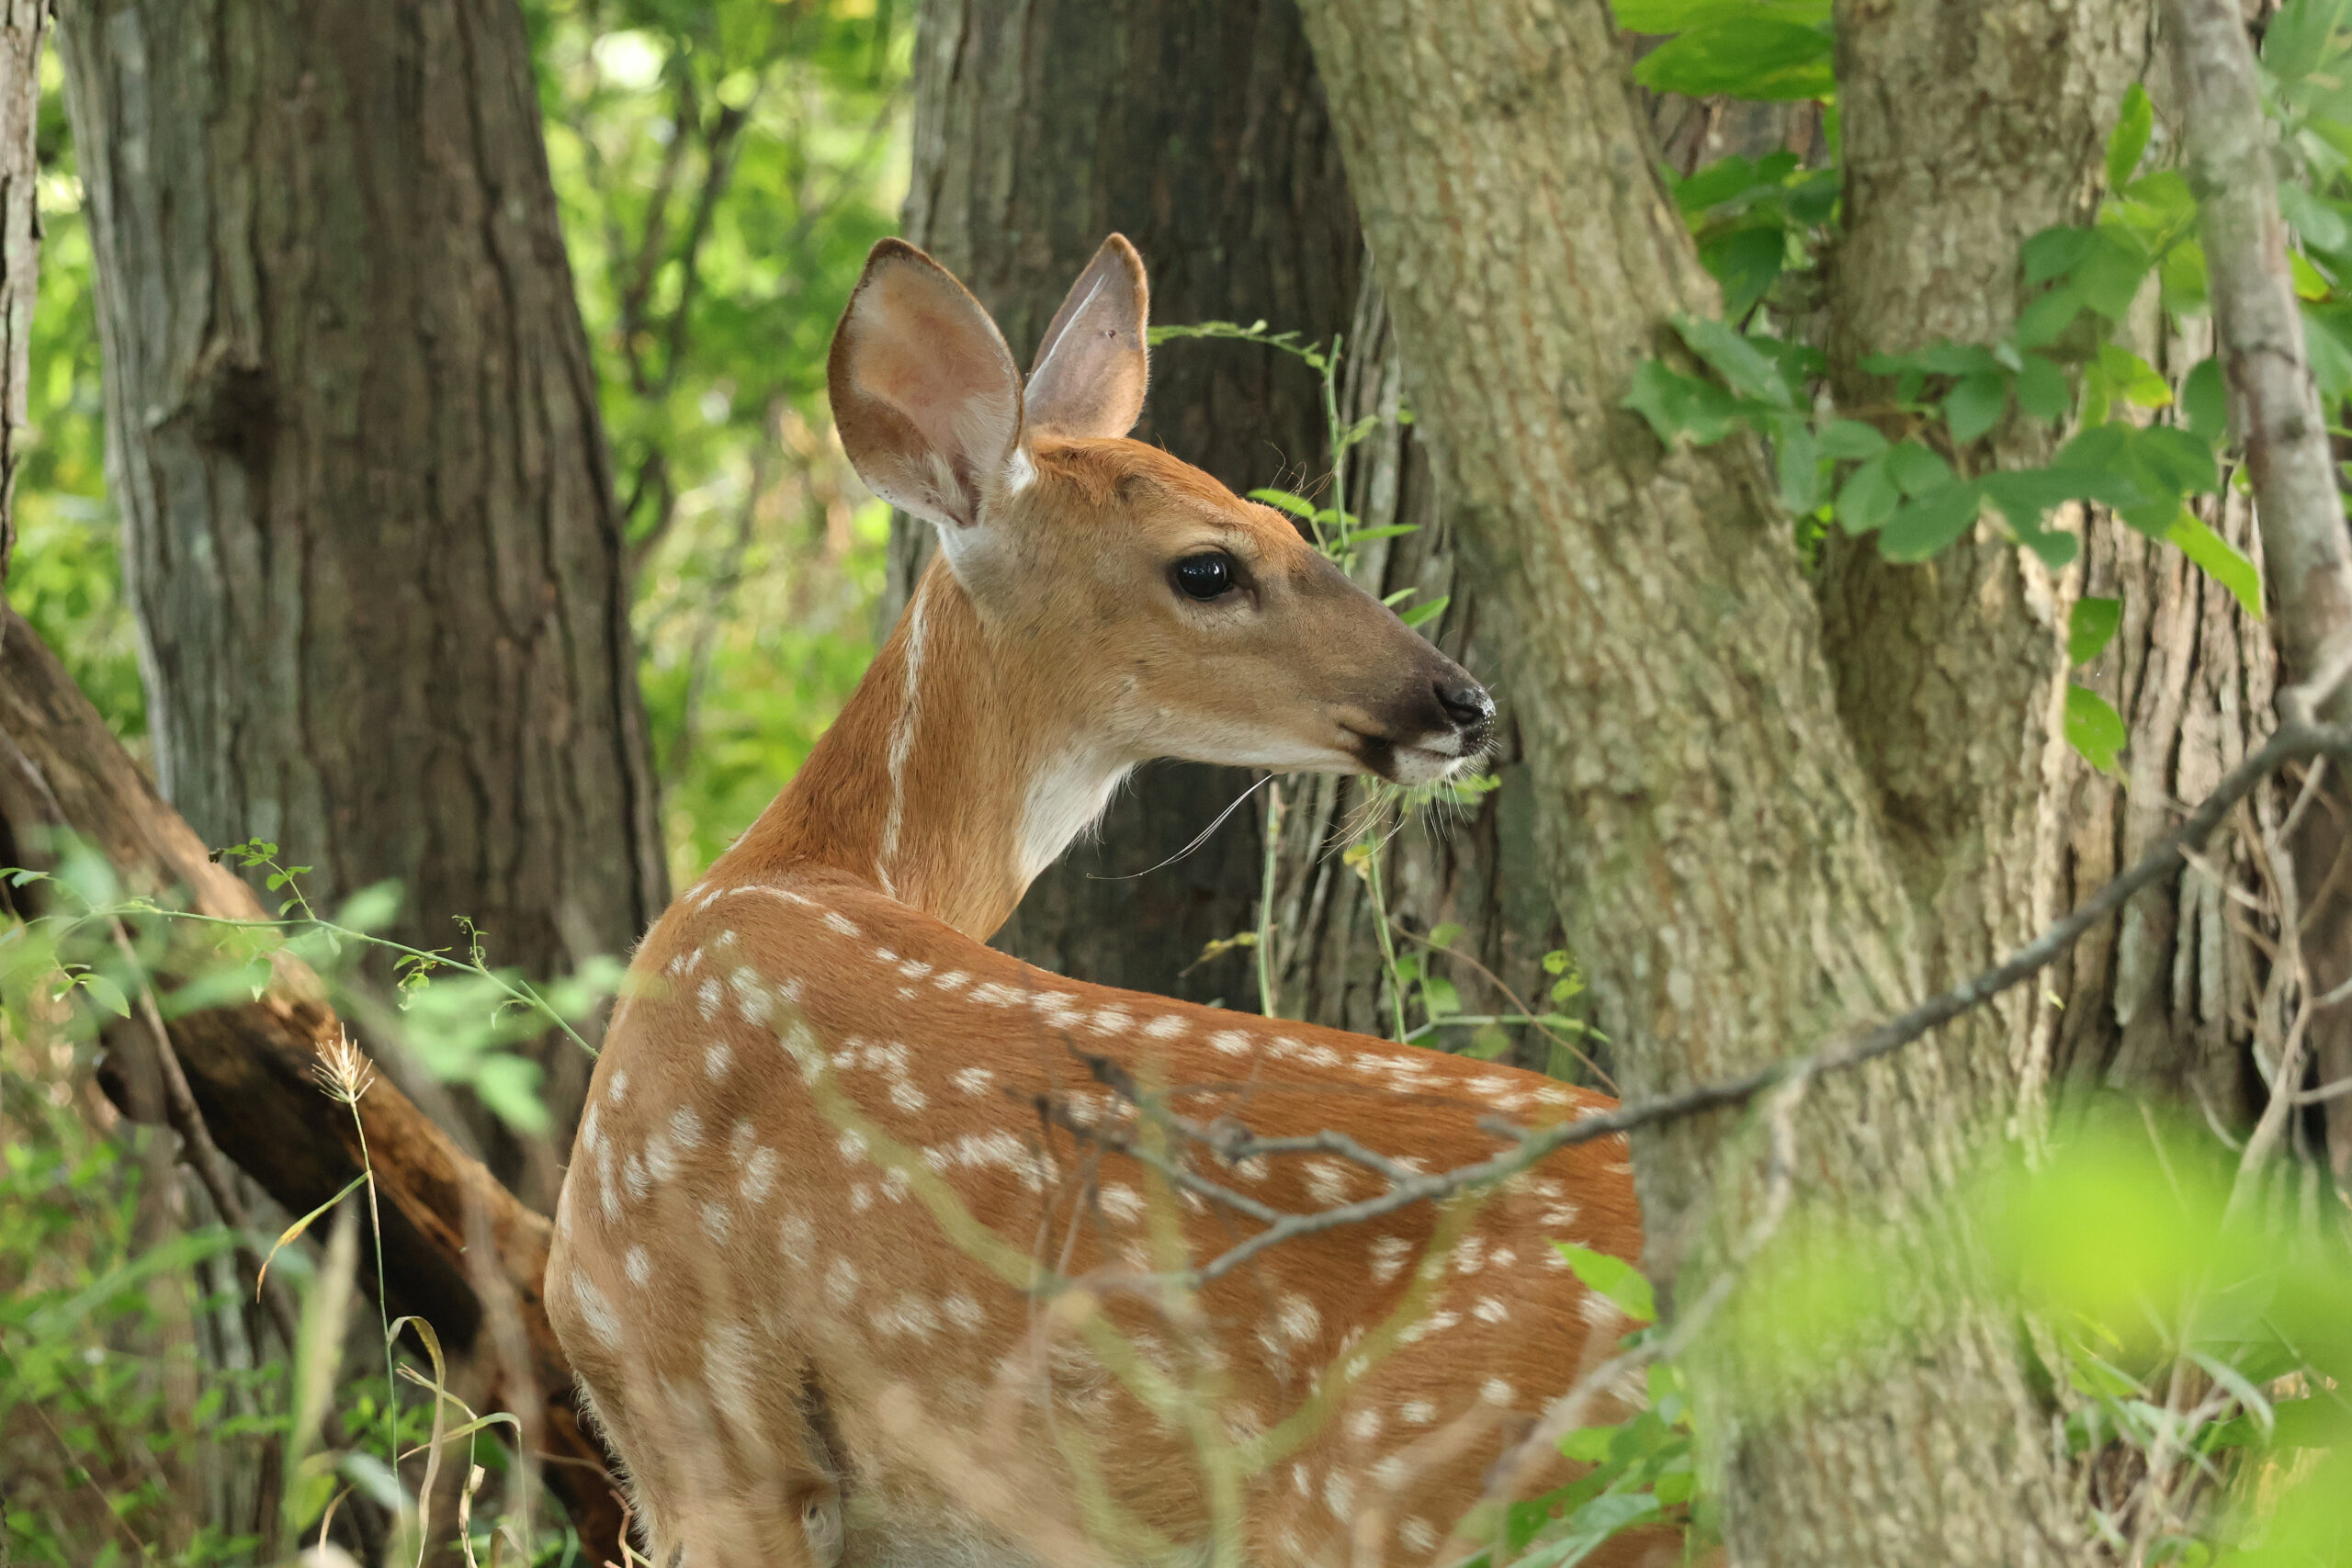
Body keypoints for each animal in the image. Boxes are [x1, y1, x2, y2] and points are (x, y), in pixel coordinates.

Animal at [546, 235, 1658, 1568]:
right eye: (1212, 562)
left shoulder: (700, 1415)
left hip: (1416, 1490)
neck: (788, 870)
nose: (1463, 701)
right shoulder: (725, 1438)